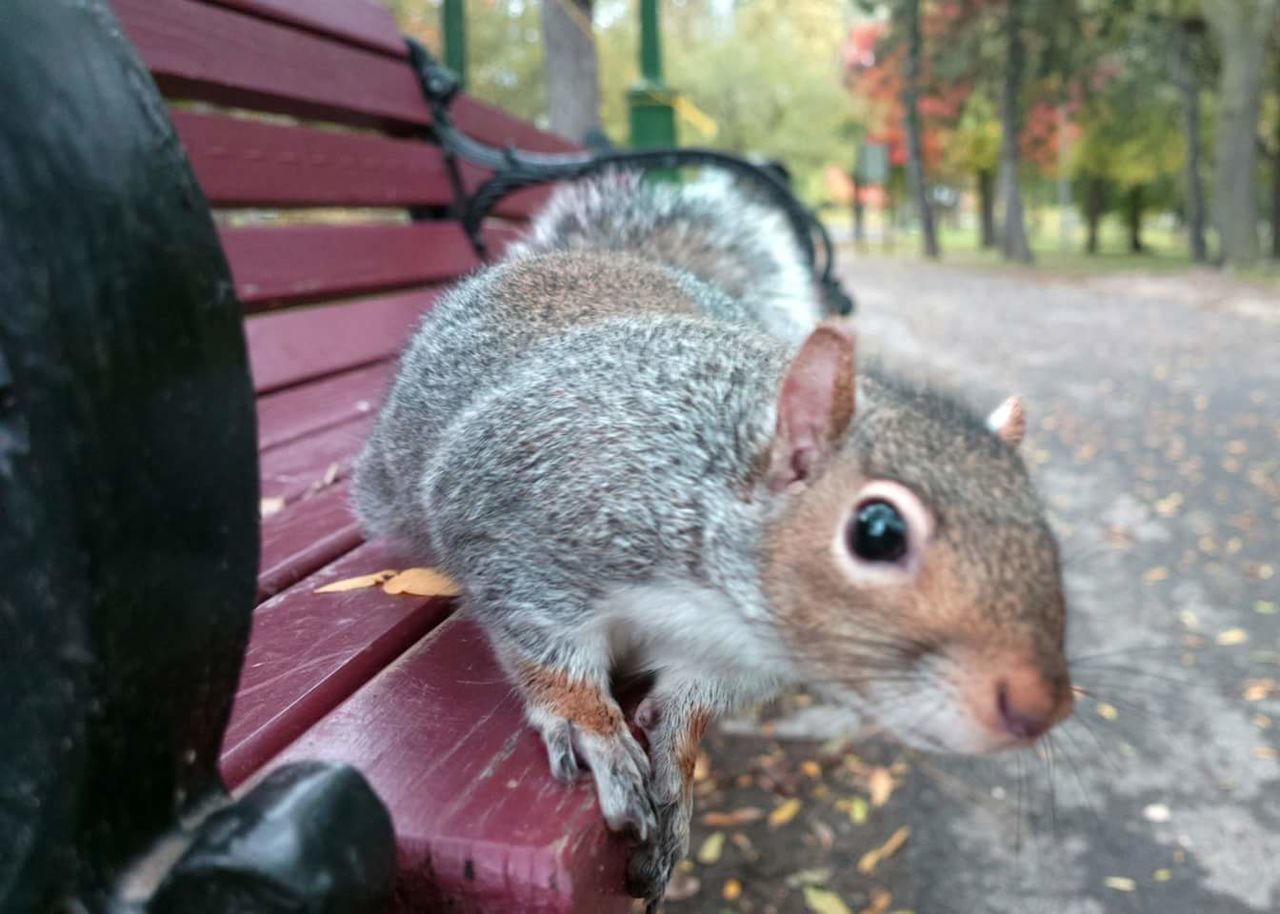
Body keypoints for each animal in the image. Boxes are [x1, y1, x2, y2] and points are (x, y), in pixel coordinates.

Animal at [350, 171, 1070, 906]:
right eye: (877, 532)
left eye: (1042, 526)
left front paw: (679, 764)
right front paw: (590, 726)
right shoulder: (517, 526)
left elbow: (692, 707)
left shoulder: (738, 662)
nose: (1040, 708)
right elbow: (543, 648)